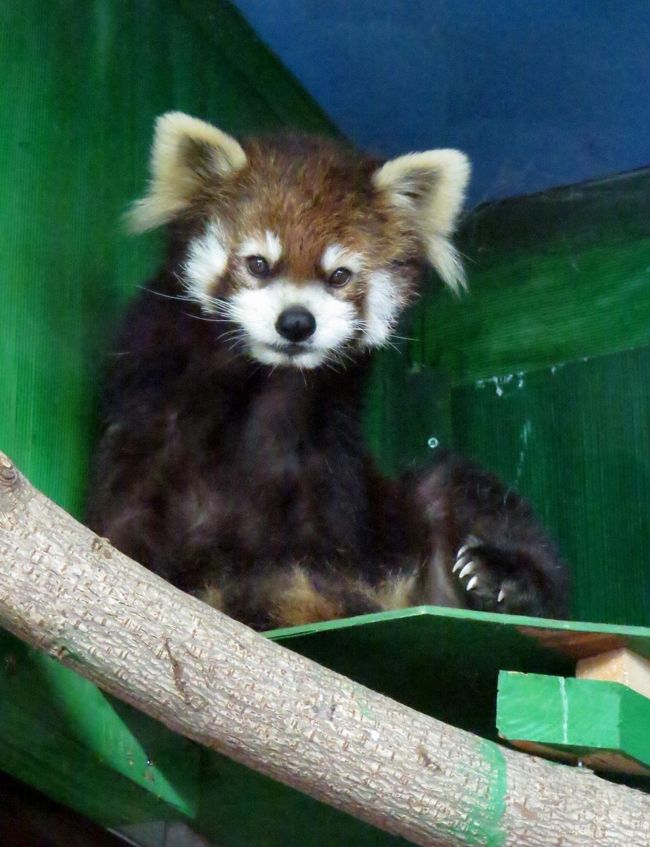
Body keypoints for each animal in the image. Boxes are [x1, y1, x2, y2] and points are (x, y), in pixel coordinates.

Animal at [83, 112, 564, 628]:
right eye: (258, 264)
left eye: (339, 276)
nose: (296, 322)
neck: (257, 383)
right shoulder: (148, 398)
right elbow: (127, 507)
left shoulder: (326, 452)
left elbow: (323, 549)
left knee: (462, 491)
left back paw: (501, 578)